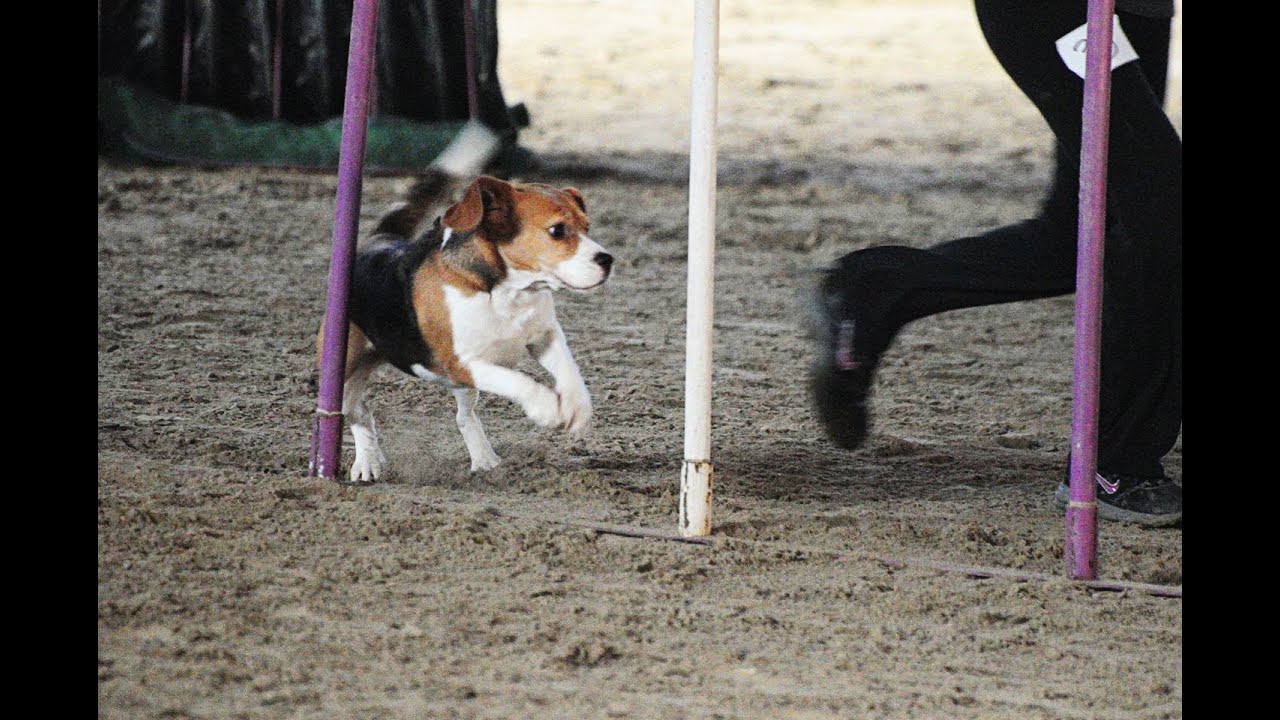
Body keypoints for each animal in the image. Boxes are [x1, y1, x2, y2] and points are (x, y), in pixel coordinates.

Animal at [325, 170, 614, 479]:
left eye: (587, 227)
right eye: (557, 230)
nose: (608, 260)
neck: (507, 291)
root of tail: (378, 240)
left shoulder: (545, 335)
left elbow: (569, 370)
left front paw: (578, 408)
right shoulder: (460, 363)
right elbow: (518, 380)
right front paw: (546, 407)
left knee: (463, 416)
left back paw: (484, 459)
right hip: (344, 375)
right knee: (358, 413)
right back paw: (367, 462)